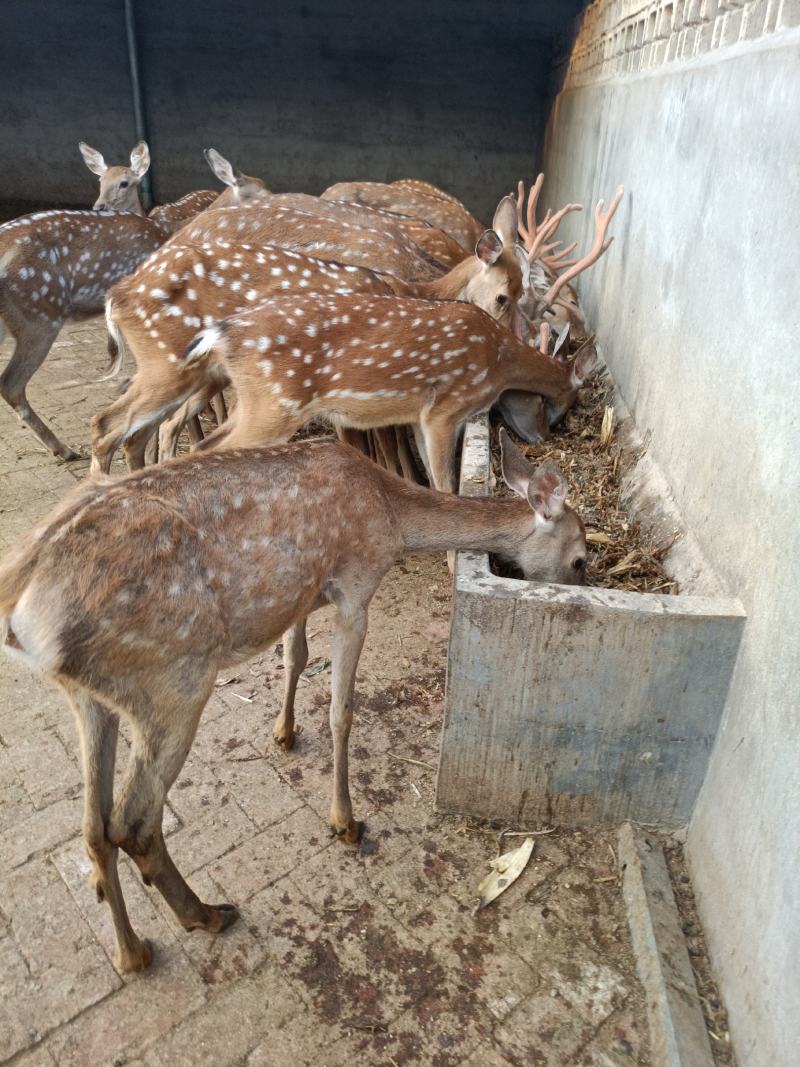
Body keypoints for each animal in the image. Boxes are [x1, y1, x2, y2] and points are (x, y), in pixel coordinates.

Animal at [0, 431, 586, 974]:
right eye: (581, 558)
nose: (581, 584)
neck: (392, 517)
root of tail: (21, 615)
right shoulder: (356, 584)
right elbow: (341, 709)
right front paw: (344, 820)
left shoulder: (303, 594)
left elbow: (295, 657)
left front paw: (283, 732)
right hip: (174, 680)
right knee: (132, 820)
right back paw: (206, 915)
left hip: (87, 696)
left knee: (92, 826)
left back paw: (132, 952)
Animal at [90, 196, 525, 471]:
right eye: (503, 297)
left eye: (525, 292)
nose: (505, 344)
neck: (412, 290)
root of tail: (117, 297)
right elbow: (376, 441)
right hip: (169, 364)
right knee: (110, 425)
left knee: (140, 431)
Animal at [182, 292, 598, 494]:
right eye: (558, 404)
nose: (545, 435)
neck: (499, 361)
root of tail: (219, 334)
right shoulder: (445, 408)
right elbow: (446, 482)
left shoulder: (420, 415)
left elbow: (432, 475)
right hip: (278, 400)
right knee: (218, 450)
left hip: (253, 398)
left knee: (205, 446)